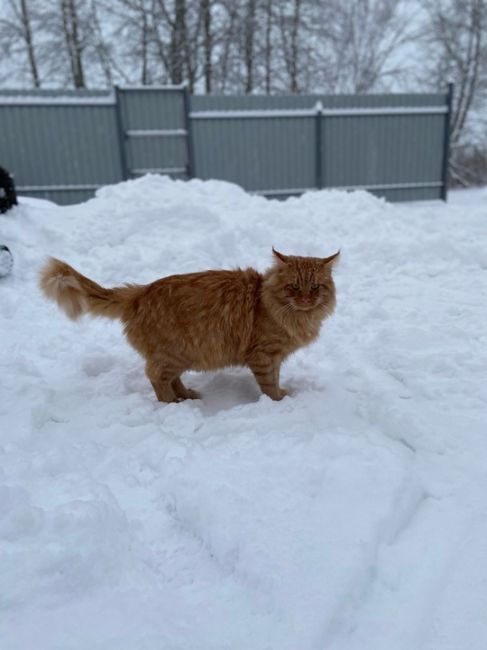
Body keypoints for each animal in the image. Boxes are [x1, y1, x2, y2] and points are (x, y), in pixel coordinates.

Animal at [40, 247, 340, 400]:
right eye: (294, 287)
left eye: (315, 287)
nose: (305, 299)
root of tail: (140, 292)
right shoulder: (264, 355)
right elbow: (268, 384)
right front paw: (278, 401)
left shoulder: (274, 357)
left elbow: (275, 379)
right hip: (174, 353)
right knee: (155, 377)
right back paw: (172, 404)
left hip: (181, 354)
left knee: (171, 378)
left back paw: (187, 395)